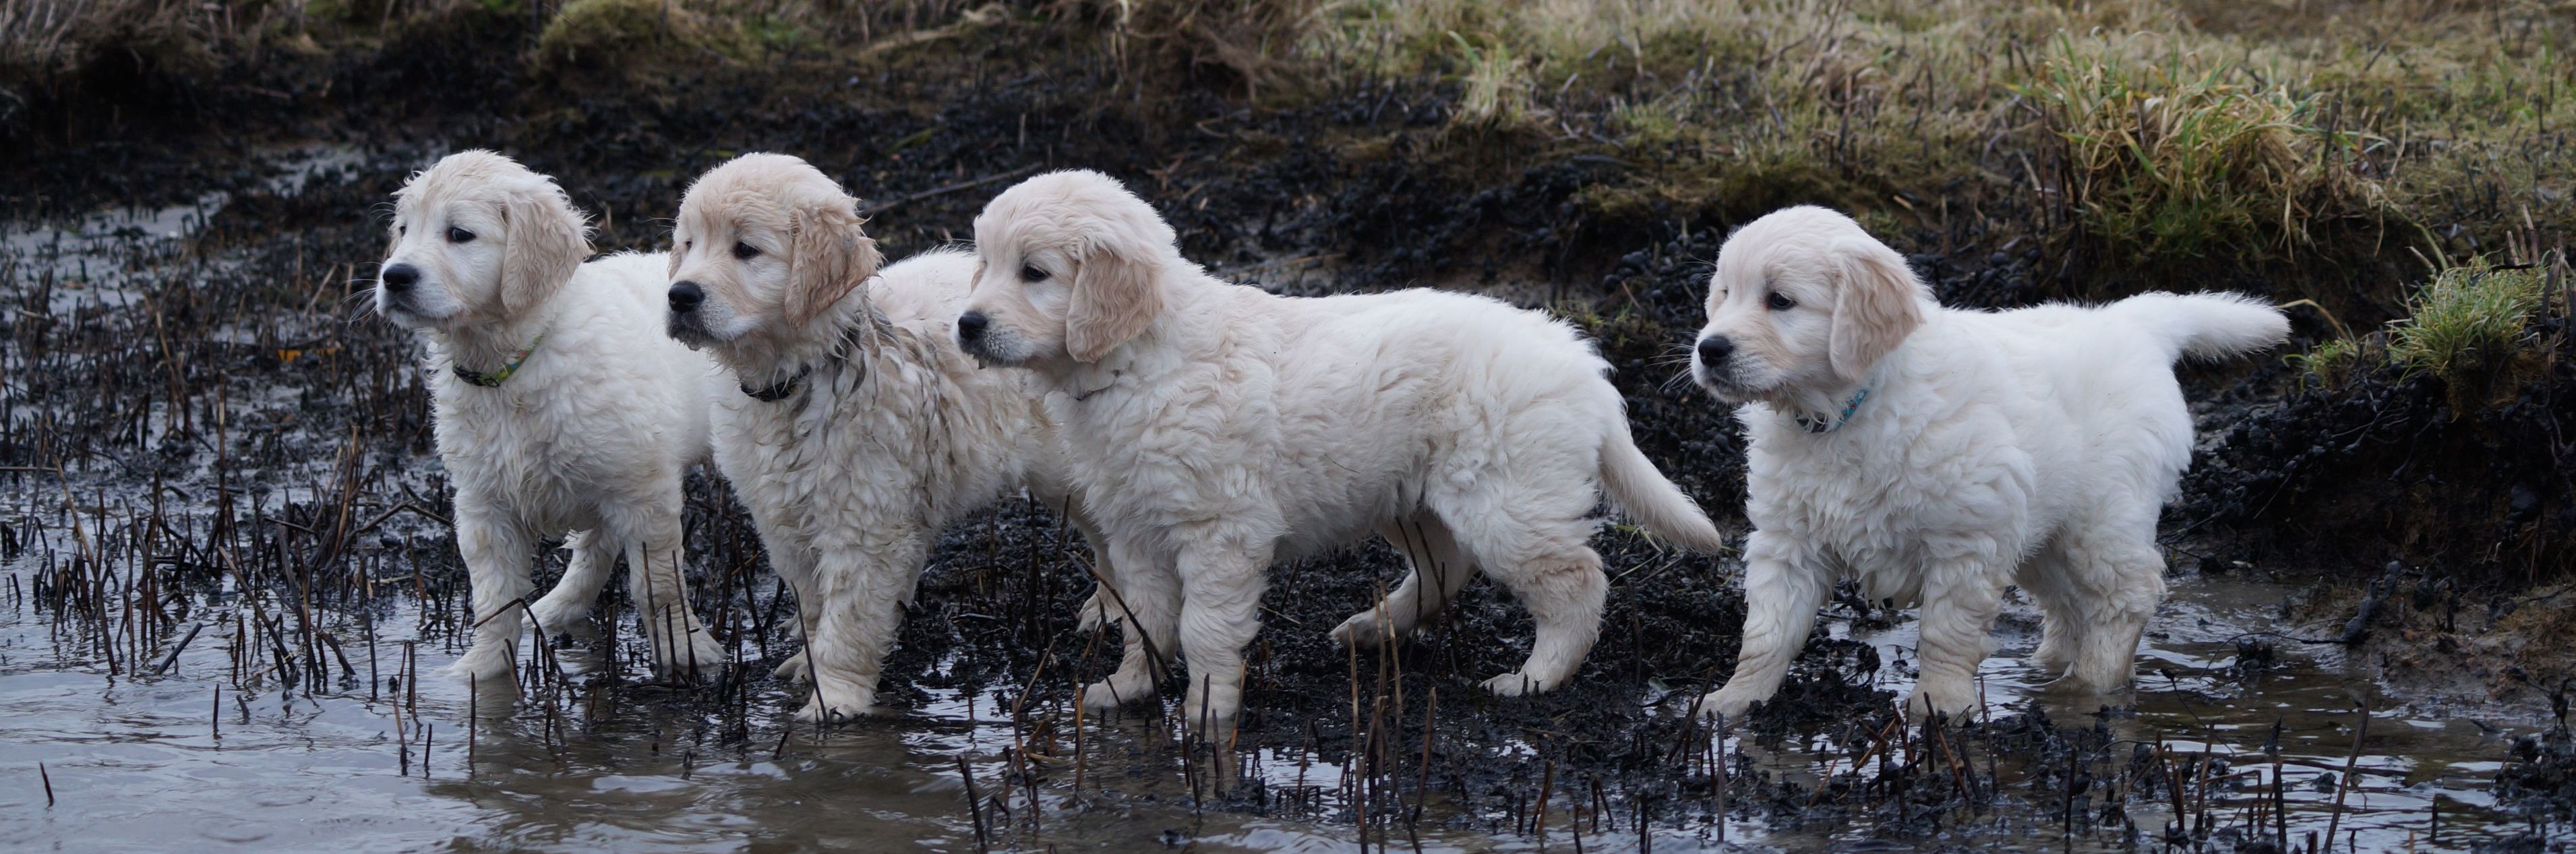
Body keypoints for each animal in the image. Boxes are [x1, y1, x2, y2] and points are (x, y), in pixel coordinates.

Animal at [371, 148, 726, 694]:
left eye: (459, 234)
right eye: (404, 230)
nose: (394, 276)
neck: (513, 363)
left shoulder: (642, 489)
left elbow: (659, 585)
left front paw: (686, 655)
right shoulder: (483, 505)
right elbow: (494, 598)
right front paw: (481, 672)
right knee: (595, 548)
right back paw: (556, 607)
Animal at [953, 172, 1731, 735]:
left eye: (1034, 272)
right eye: (984, 265)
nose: (965, 324)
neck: (1135, 362)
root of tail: (1580, 361)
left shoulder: (1220, 528)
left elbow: (1203, 626)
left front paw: (1207, 708)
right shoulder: (1135, 527)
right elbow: (1145, 619)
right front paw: (1126, 687)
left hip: (1507, 500)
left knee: (1574, 583)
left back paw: (1534, 676)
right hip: (1407, 494)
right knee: (1445, 566)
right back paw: (1372, 627)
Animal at [1689, 207, 2298, 720]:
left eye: (1780, 300)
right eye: (1724, 294)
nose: (1708, 349)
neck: (1841, 413)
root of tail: (2133, 321)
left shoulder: (1964, 536)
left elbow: (1945, 632)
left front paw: (1940, 705)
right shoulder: (1787, 541)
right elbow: (1767, 633)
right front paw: (1733, 701)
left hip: (2103, 515)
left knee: (2125, 595)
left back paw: (2089, 682)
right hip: (2044, 528)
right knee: (2069, 602)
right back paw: (2050, 665)